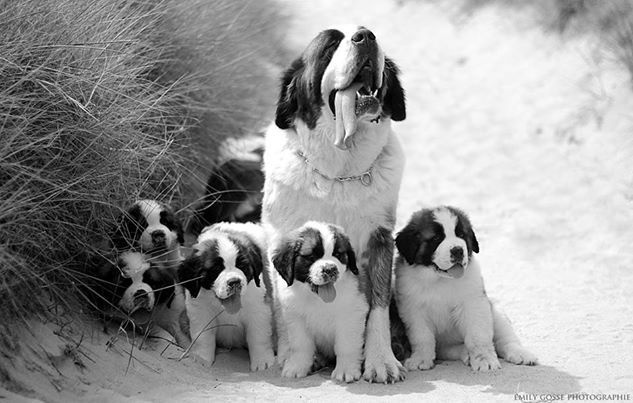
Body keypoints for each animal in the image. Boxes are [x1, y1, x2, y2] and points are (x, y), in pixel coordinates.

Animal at [178, 223, 276, 370]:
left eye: (242, 266)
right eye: (215, 270)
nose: (234, 282)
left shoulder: (258, 309)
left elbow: (258, 336)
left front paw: (262, 361)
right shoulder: (199, 310)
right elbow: (203, 336)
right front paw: (201, 359)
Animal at [270, 223, 366, 384]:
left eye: (338, 254)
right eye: (311, 257)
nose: (330, 269)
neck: (317, 299)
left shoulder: (351, 315)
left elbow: (346, 345)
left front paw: (346, 369)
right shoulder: (296, 318)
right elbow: (300, 345)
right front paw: (297, 366)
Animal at [392, 208, 536, 372]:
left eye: (461, 235)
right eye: (436, 238)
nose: (458, 250)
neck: (440, 280)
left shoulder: (474, 304)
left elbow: (478, 335)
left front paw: (484, 359)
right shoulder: (413, 310)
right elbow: (422, 337)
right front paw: (420, 359)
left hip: (497, 315)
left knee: (505, 340)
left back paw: (521, 353)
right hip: (445, 346)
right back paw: (466, 353)